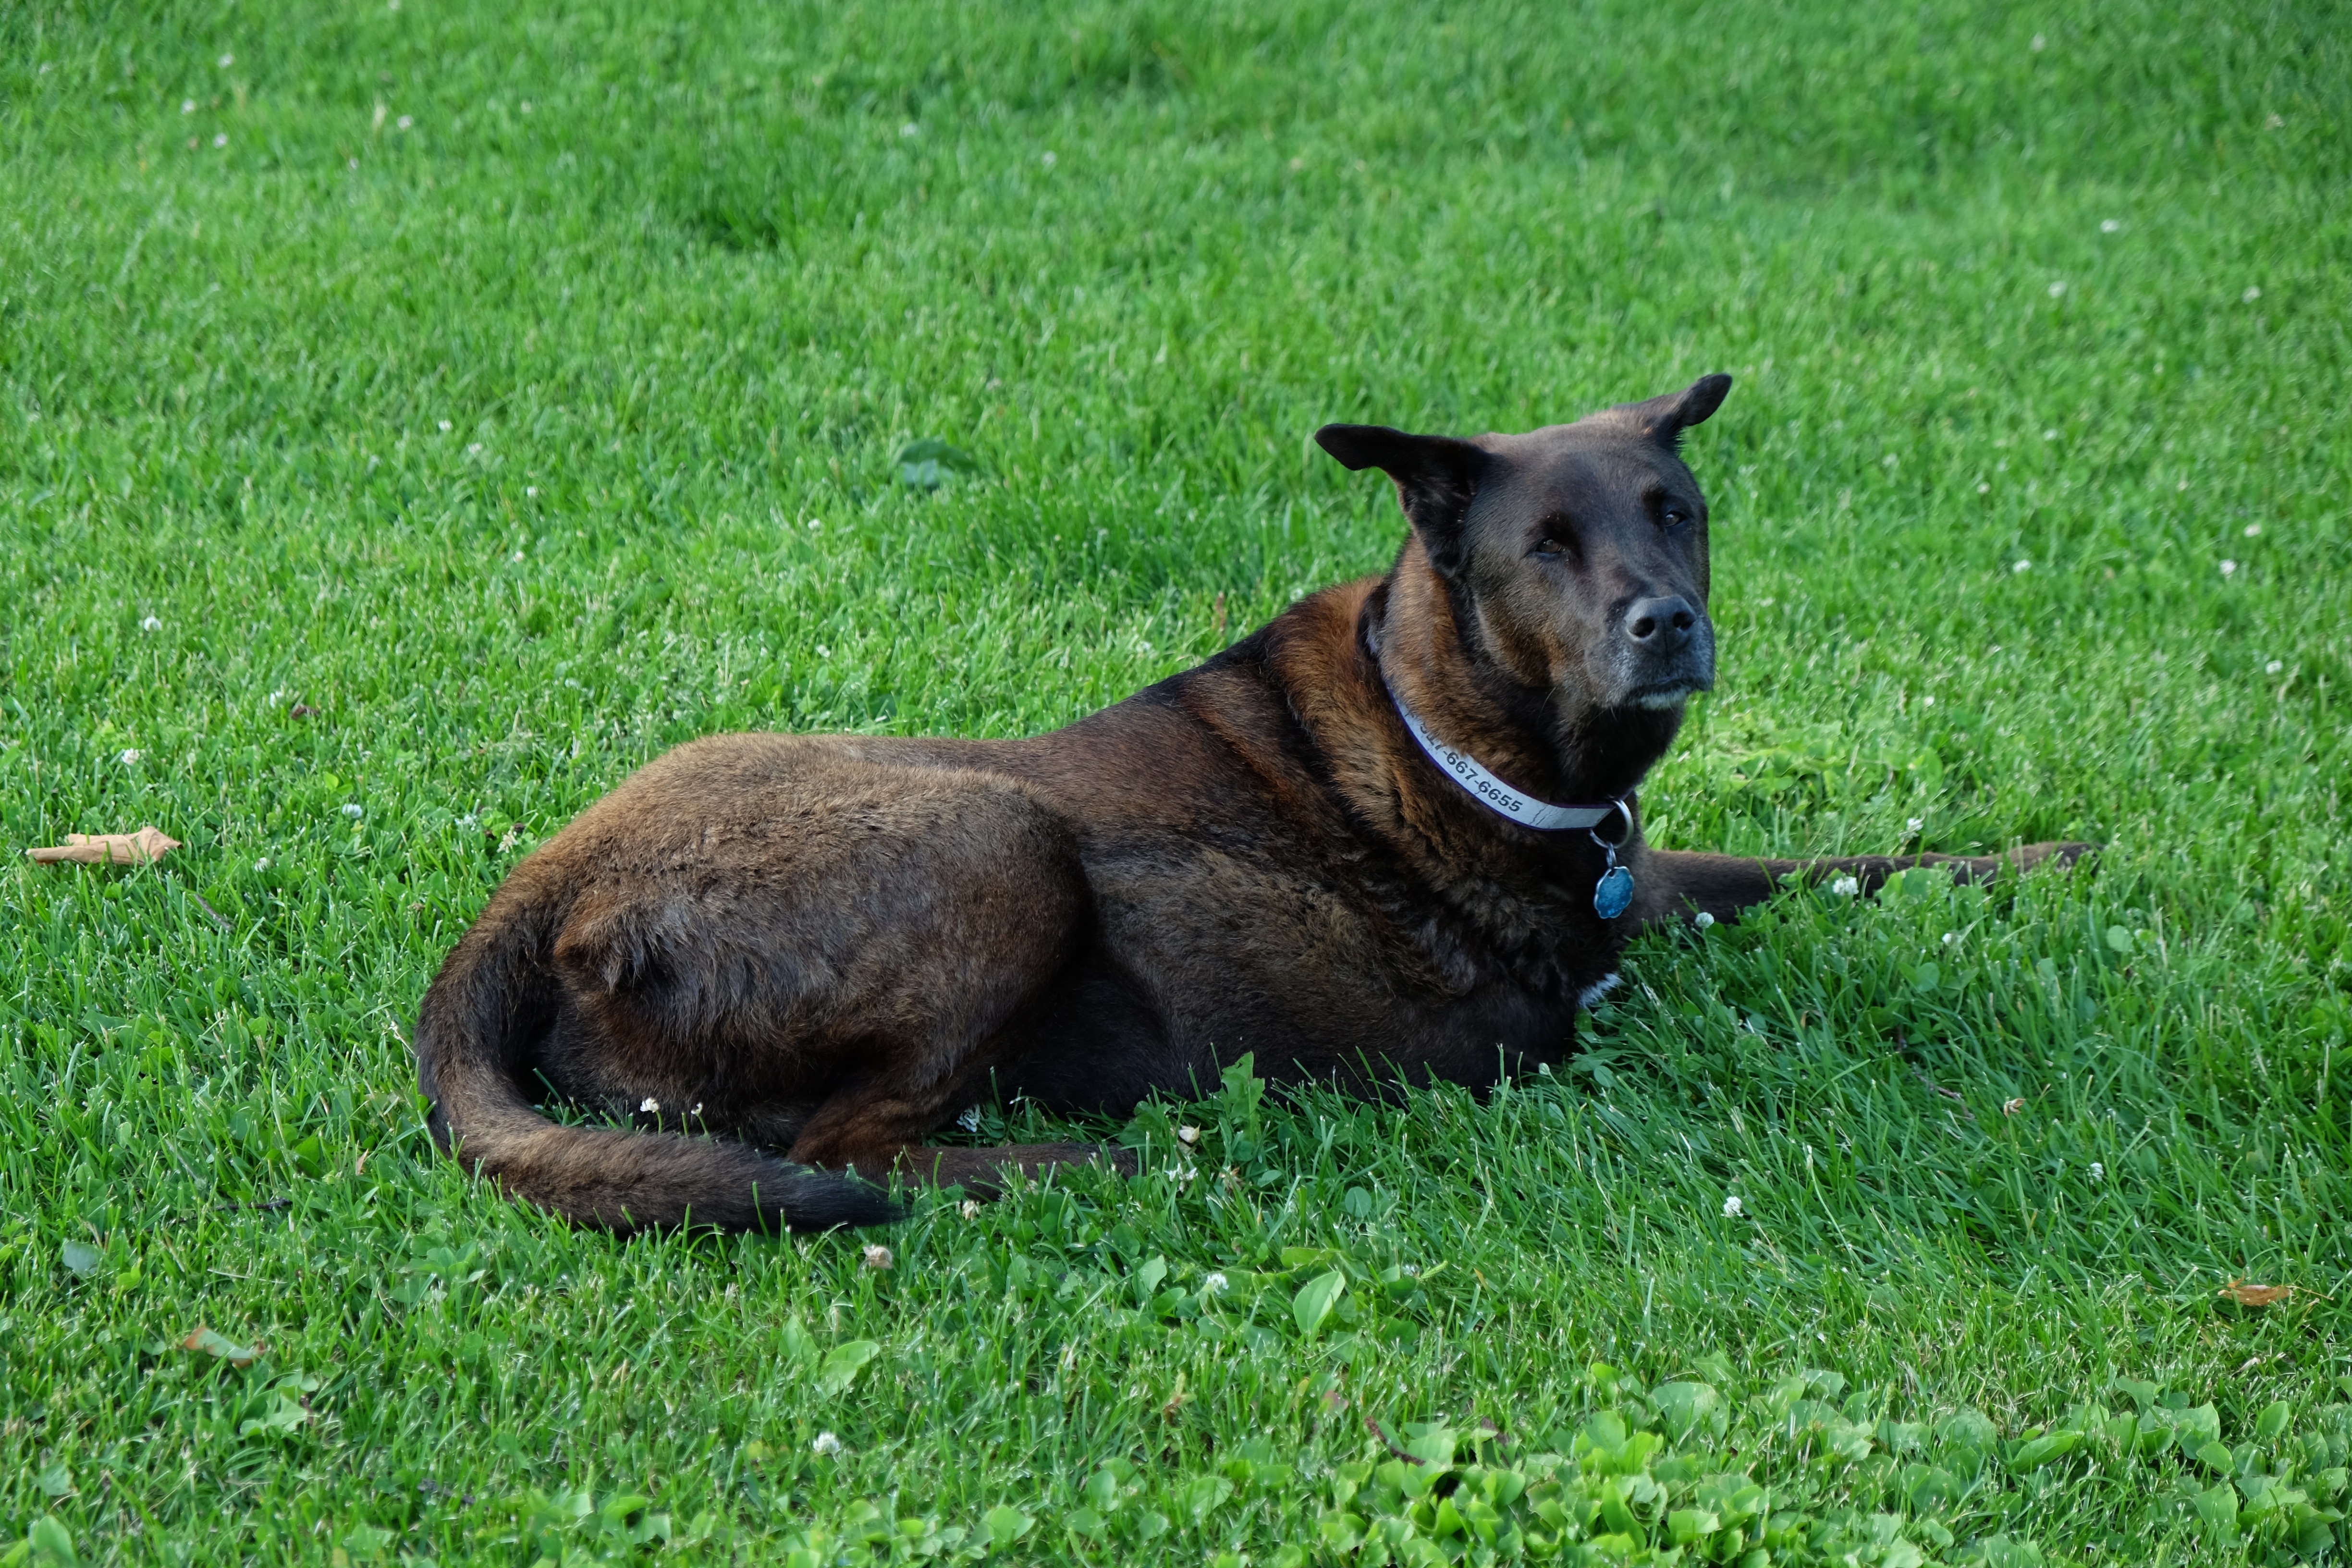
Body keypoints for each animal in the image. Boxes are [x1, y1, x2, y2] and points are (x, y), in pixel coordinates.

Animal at [413, 374, 2083, 1232]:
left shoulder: (1658, 872)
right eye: (1545, 547)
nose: (1666, 623)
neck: (1451, 725)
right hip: (1002, 846)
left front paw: (2047, 853)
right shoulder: (1516, 1036)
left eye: (1677, 513)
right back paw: (1115, 1158)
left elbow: (1840, 863)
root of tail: (535, 893)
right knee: (850, 1147)